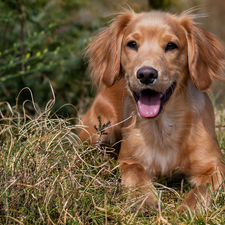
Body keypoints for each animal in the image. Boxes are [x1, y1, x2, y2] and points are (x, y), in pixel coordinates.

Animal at [78, 9, 225, 213]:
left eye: (171, 46)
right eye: (132, 44)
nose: (146, 74)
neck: (162, 127)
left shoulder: (215, 165)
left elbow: (202, 189)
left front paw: (187, 209)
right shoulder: (129, 160)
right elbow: (136, 172)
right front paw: (144, 199)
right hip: (100, 129)